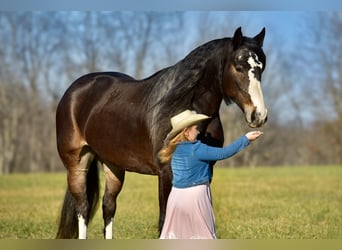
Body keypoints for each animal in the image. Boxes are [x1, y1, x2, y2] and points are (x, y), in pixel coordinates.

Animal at [55, 26, 268, 239]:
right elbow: (164, 219)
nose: (259, 115)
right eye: (238, 67)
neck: (184, 105)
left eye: (261, 67)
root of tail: (74, 90)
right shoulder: (166, 173)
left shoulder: (207, 169)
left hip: (113, 165)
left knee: (108, 206)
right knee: (83, 207)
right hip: (77, 164)